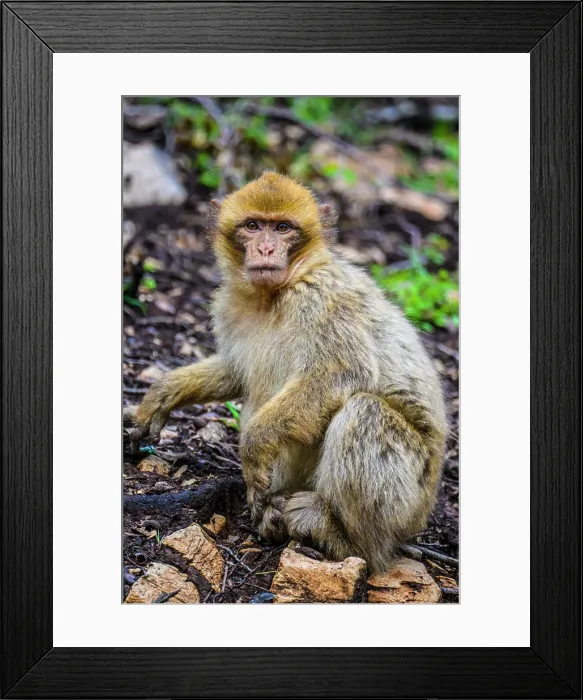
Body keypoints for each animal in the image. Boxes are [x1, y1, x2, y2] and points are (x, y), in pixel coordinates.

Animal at [127, 171, 447, 573]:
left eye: (282, 228)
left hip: (408, 502)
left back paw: (346, 538)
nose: (265, 249)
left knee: (364, 411)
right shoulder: (230, 304)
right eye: (252, 226)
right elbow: (235, 371)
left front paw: (251, 449)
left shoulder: (321, 297)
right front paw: (162, 396)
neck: (276, 294)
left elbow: (340, 375)